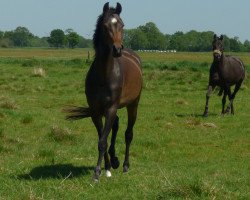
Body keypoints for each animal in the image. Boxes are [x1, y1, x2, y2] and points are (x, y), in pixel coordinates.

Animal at [64, 2, 143, 181]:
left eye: (122, 25)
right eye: (105, 26)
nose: (117, 49)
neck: (105, 75)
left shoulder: (111, 108)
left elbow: (103, 140)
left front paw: (96, 173)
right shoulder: (96, 110)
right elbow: (103, 139)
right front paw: (105, 168)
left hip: (133, 104)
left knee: (128, 134)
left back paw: (125, 165)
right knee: (116, 125)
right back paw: (114, 161)